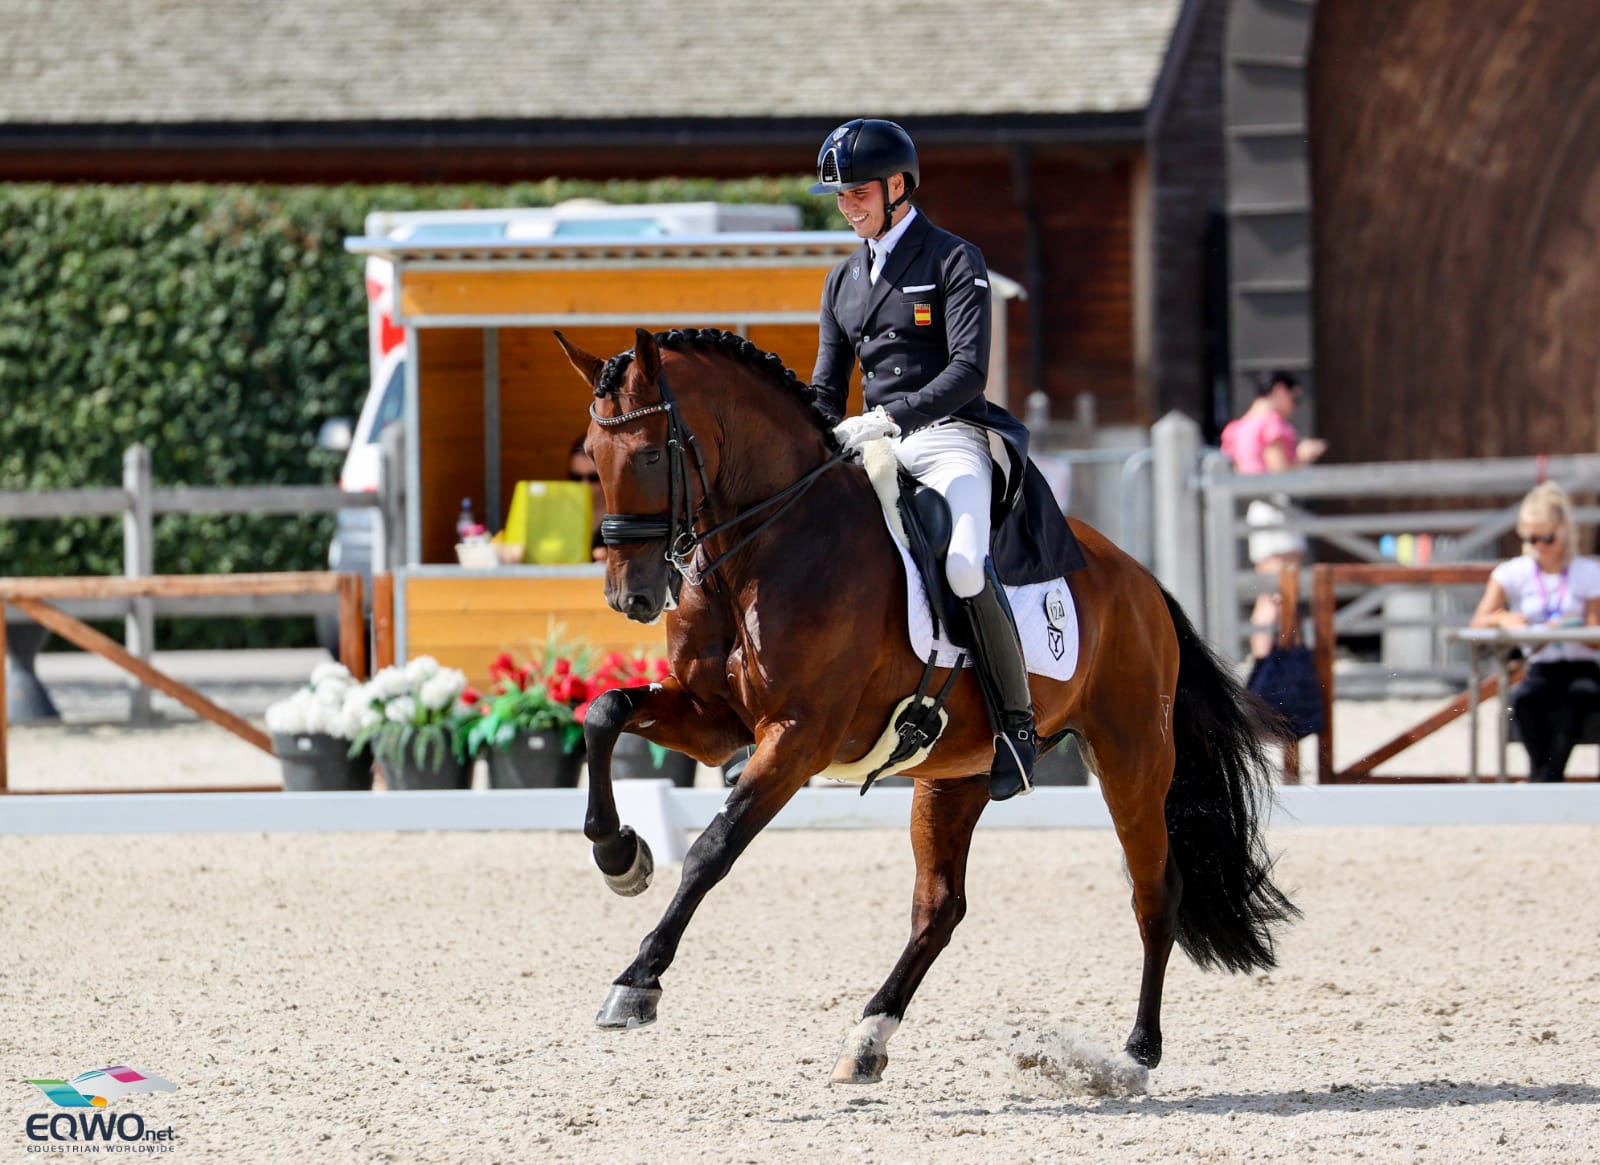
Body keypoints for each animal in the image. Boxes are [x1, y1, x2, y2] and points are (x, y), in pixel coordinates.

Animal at [556, 320, 1292, 1081]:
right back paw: (868, 1037)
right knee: (940, 906)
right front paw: (620, 856)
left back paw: (1136, 1054)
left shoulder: (797, 737)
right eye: (593, 455)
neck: (766, 545)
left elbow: (712, 849)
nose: (631, 596)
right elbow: (604, 712)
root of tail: (1143, 582)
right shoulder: (715, 722)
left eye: (648, 454)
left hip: (1132, 760)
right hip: (954, 775)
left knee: (1154, 891)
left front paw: (636, 983)